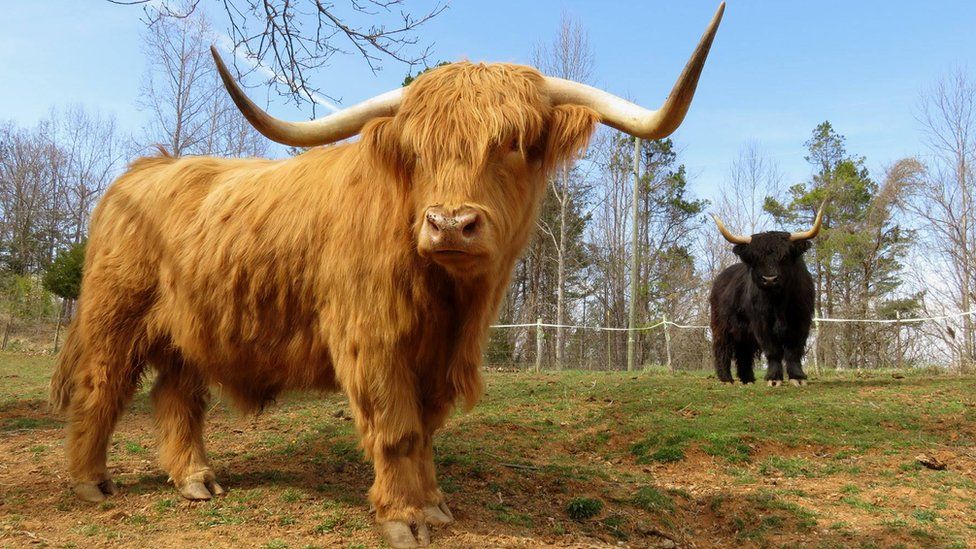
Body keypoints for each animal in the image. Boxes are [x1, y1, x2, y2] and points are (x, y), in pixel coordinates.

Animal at [48, 5, 724, 547]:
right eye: (419, 150)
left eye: (512, 144)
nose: (450, 224)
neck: (449, 300)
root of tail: (141, 172)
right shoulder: (371, 341)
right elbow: (397, 429)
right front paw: (403, 517)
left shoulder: (440, 356)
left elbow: (423, 431)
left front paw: (434, 505)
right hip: (114, 316)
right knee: (100, 387)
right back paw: (90, 483)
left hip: (190, 332)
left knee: (177, 397)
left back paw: (195, 478)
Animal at [708, 205, 823, 387]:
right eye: (755, 257)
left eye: (785, 256)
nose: (770, 279)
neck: (778, 302)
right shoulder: (761, 323)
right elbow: (772, 350)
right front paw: (774, 379)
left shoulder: (801, 321)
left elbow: (794, 350)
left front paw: (798, 377)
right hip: (721, 326)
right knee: (722, 348)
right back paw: (726, 379)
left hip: (743, 332)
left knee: (744, 352)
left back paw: (748, 380)